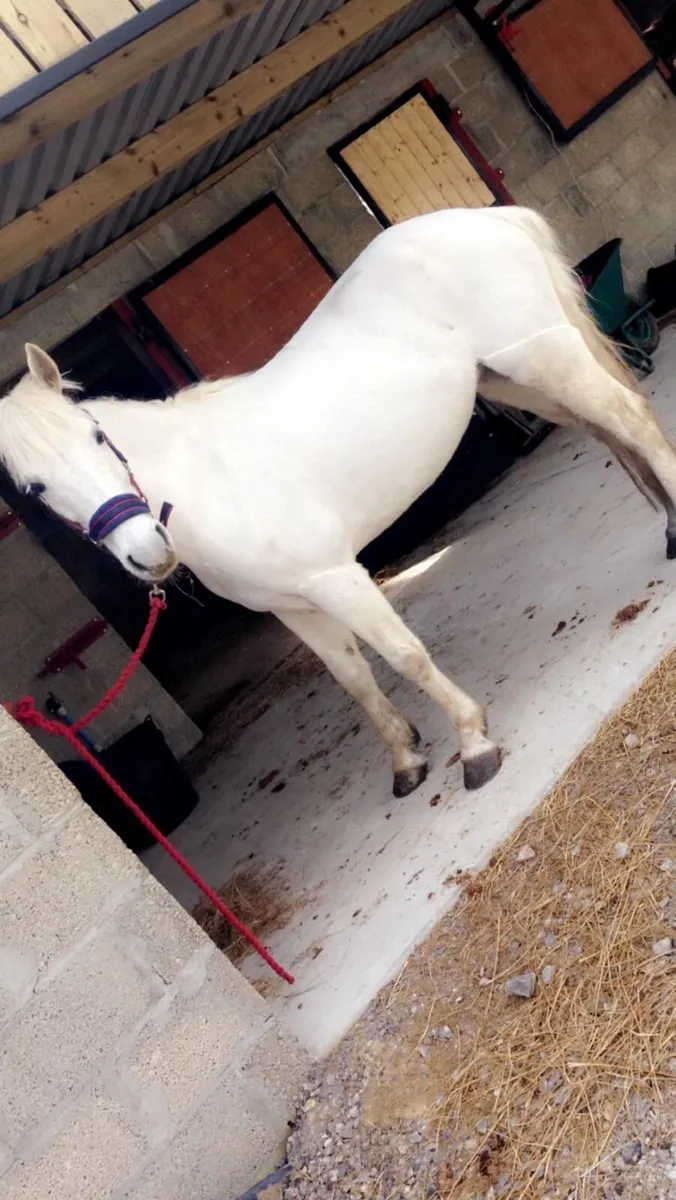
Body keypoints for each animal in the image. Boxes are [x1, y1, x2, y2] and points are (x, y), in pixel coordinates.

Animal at [2, 206, 675, 799]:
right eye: (36, 492)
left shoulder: (338, 578)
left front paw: (474, 744)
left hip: (543, 358)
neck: (209, 481)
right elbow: (354, 679)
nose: (148, 554)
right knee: (611, 433)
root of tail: (483, 216)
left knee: (632, 420)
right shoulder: (294, 607)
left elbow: (403, 656)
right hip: (513, 380)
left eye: (97, 437)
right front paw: (406, 762)